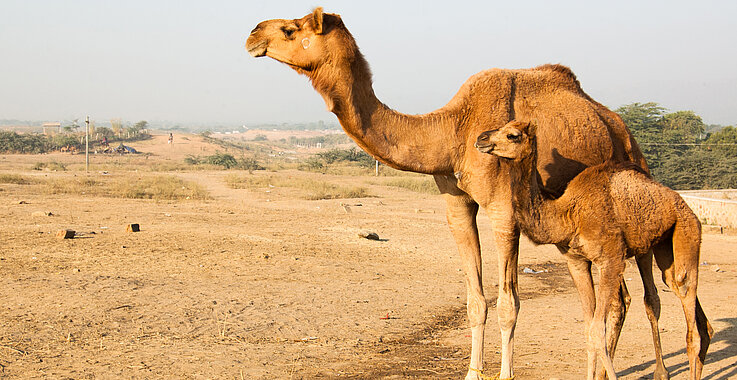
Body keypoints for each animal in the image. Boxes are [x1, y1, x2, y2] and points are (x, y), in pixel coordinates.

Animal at [244, 7, 648, 378]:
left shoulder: (504, 209)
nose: (252, 34)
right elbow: (475, 300)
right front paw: (472, 372)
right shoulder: (457, 205)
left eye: (291, 29)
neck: (453, 131)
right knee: (610, 301)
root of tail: (620, 130)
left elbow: (508, 305)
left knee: (621, 297)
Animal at [474, 121, 712, 380]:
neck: (568, 214)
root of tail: (685, 206)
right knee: (674, 287)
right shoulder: (576, 261)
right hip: (663, 245)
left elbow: (598, 331)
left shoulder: (611, 260)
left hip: (687, 230)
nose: (481, 138)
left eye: (513, 135)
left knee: (686, 299)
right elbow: (588, 330)